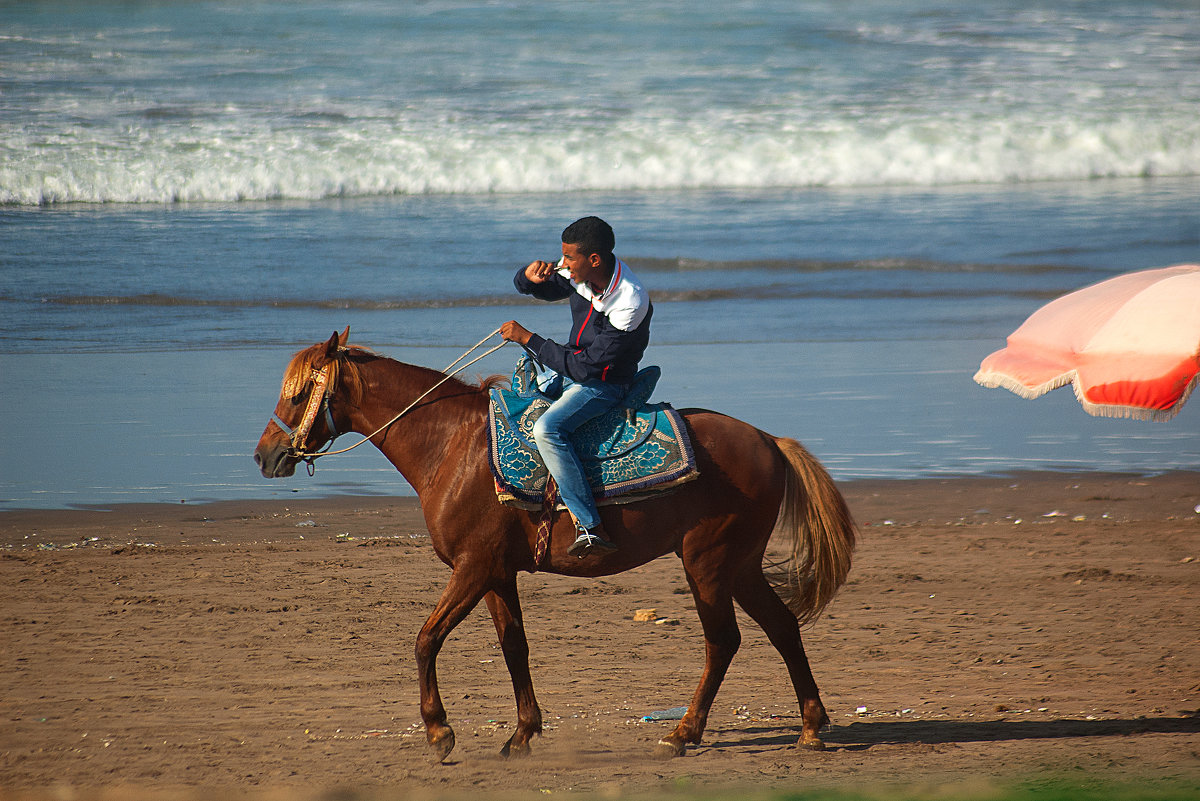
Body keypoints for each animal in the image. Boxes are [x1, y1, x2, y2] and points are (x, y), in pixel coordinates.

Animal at [255, 328, 854, 762]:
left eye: (300, 392)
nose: (265, 455)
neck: (451, 445)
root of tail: (769, 441)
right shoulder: (497, 573)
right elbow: (513, 647)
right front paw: (522, 733)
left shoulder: (472, 568)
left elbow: (427, 640)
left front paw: (439, 731)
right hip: (740, 566)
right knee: (781, 627)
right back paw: (810, 726)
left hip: (707, 564)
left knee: (723, 641)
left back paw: (684, 732)